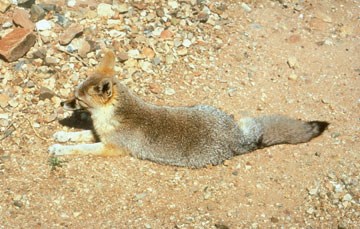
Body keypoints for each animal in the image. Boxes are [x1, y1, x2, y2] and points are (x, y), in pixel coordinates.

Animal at [48, 50, 330, 168]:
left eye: (77, 99)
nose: (61, 103)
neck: (110, 117)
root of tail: (238, 138)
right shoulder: (101, 134)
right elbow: (81, 135)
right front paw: (62, 135)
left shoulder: (111, 147)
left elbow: (81, 148)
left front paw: (60, 148)